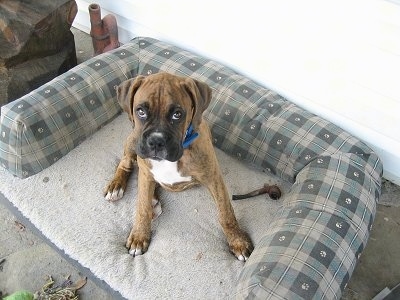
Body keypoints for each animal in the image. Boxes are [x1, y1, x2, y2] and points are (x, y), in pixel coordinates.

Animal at [103, 72, 253, 260]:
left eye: (177, 114)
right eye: (141, 111)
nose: (156, 141)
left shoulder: (214, 178)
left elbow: (226, 212)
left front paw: (238, 241)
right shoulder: (145, 173)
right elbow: (142, 207)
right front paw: (139, 236)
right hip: (133, 141)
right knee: (125, 163)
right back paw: (116, 187)